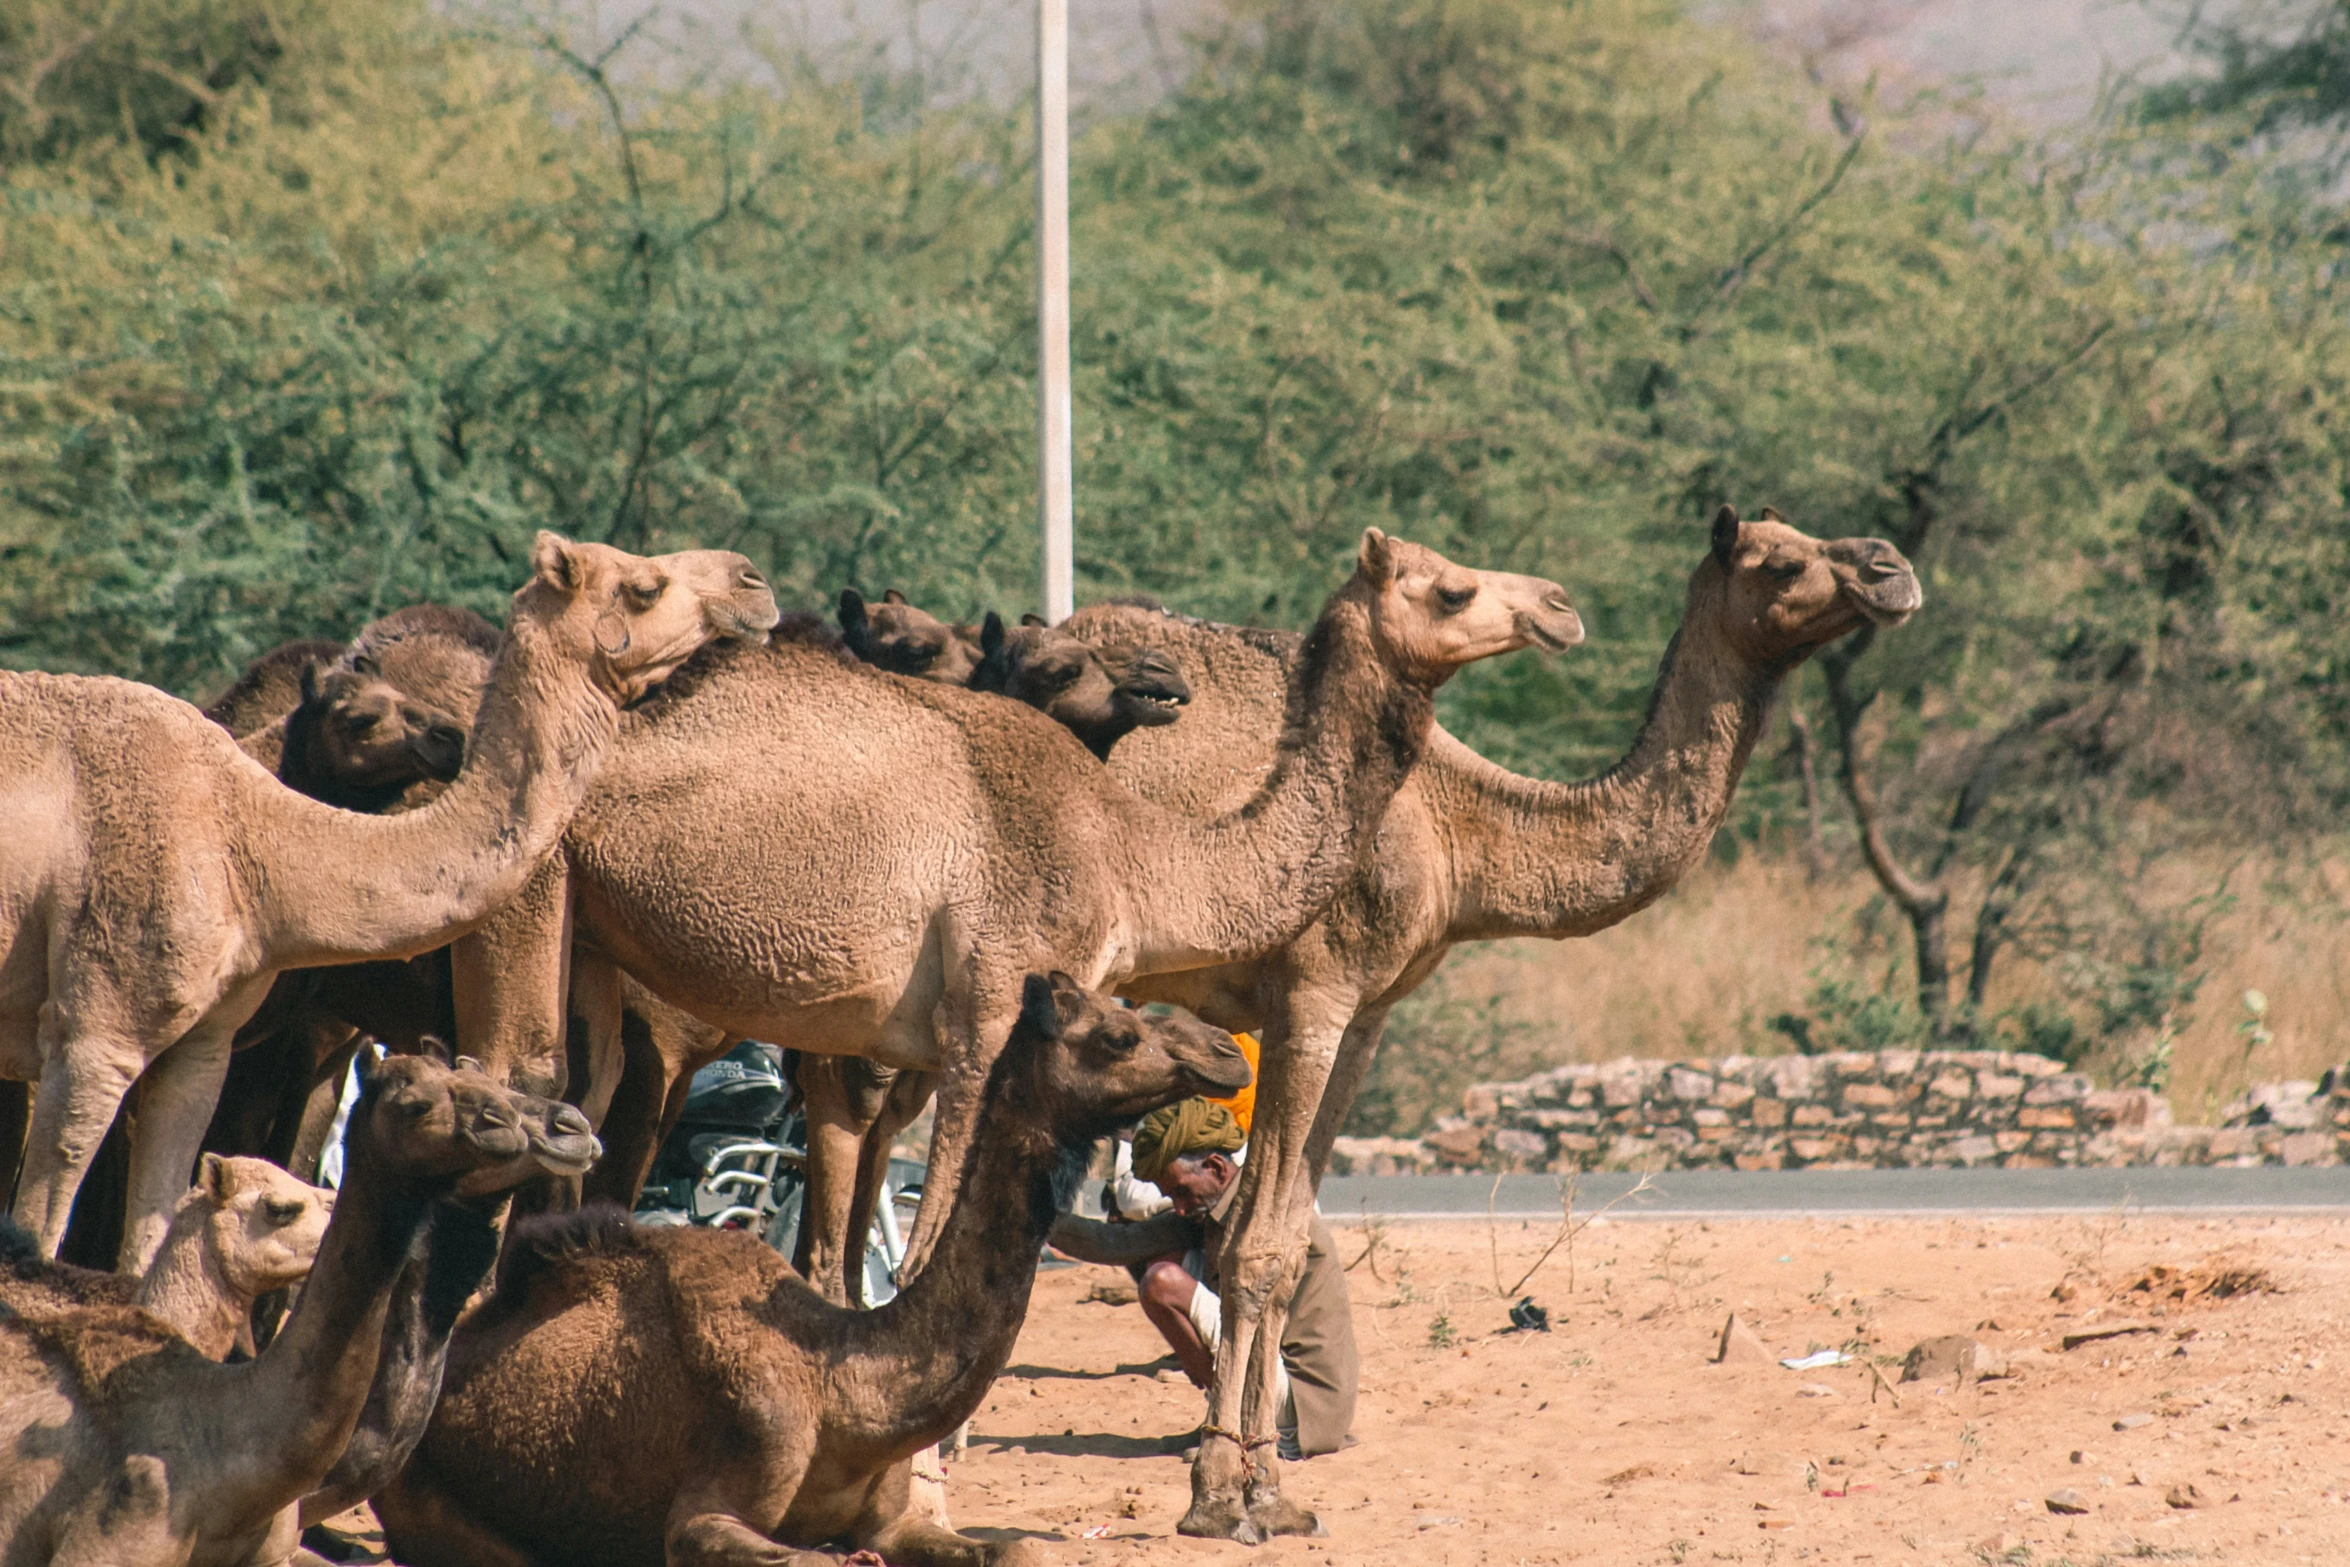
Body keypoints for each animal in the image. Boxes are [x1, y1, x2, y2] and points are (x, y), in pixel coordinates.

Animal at [0, 533, 780, 1268]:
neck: (257, 843)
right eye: (645, 584)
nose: (754, 581)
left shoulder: (202, 1049)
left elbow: (146, 1249)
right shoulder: (97, 1033)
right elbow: (41, 1229)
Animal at [378, 967, 1259, 1567]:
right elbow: (767, 1545)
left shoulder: (893, 1517)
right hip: (423, 1502)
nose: (1227, 1053)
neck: (846, 1388)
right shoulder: (719, 1490)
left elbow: (1017, 1547)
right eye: (1117, 1035)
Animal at [441, 526, 1579, 1287]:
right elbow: (927, 1249)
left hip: (595, 952)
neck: (1132, 848)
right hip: (526, 889)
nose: (1562, 604)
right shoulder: (984, 1012)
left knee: (581, 1121)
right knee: (518, 1091)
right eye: (1453, 588)